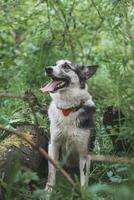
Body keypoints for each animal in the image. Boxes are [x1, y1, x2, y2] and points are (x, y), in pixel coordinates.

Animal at [40, 59, 98, 191]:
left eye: (66, 66)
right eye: (54, 64)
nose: (47, 68)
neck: (67, 109)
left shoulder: (84, 153)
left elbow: (83, 180)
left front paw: (83, 193)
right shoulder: (53, 144)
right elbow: (51, 172)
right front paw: (48, 191)